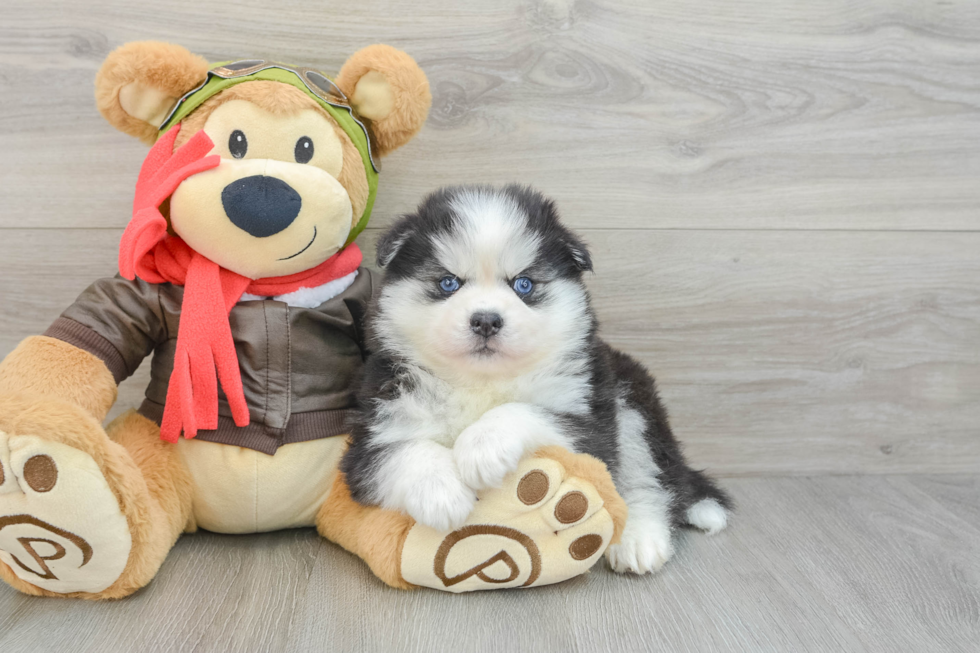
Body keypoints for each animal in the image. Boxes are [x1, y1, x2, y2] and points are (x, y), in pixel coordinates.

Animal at [340, 183, 732, 572]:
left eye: (523, 284)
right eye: (448, 282)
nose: (486, 320)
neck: (480, 382)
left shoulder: (588, 424)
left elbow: (521, 411)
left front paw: (481, 446)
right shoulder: (372, 435)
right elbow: (404, 451)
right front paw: (442, 493)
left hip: (631, 403)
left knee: (648, 481)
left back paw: (638, 539)